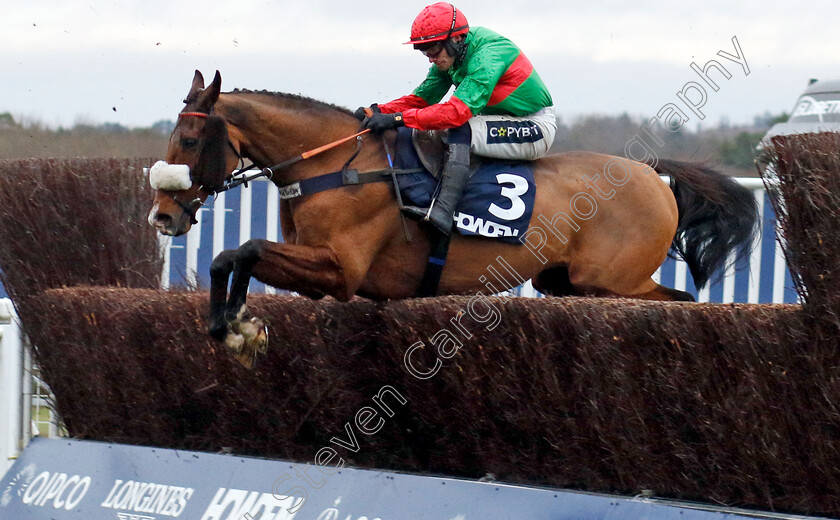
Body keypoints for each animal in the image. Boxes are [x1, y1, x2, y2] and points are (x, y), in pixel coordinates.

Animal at [148, 71, 756, 368]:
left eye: (192, 139)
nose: (162, 216)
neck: (333, 165)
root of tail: (652, 174)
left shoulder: (340, 270)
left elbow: (242, 250)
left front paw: (238, 328)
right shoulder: (321, 272)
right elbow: (232, 256)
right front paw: (233, 326)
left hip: (612, 280)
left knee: (679, 302)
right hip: (564, 282)